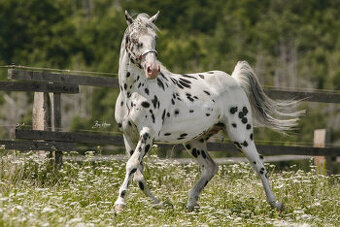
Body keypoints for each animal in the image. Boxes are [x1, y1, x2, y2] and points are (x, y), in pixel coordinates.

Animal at [114, 10, 302, 213]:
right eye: (134, 38)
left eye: (154, 38)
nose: (152, 69)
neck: (134, 92)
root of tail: (235, 80)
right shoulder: (128, 136)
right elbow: (138, 174)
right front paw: (160, 203)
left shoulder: (148, 133)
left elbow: (132, 165)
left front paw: (119, 203)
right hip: (194, 142)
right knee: (211, 167)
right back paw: (191, 203)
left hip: (241, 135)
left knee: (259, 165)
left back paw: (276, 204)